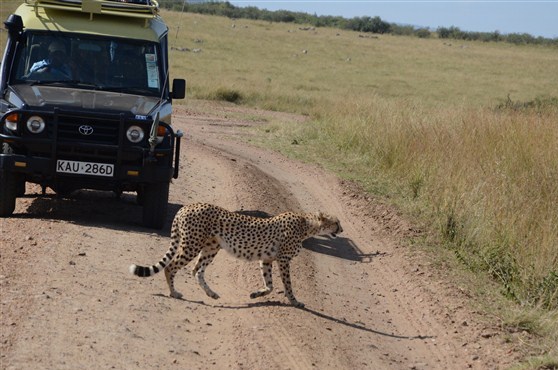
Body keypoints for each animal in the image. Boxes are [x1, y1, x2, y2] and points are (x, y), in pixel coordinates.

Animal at [130, 202, 344, 306]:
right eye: (336, 222)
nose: (341, 229)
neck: (307, 226)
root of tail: (187, 206)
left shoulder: (266, 259)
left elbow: (270, 285)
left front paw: (256, 294)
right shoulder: (283, 259)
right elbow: (287, 284)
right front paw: (295, 301)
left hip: (211, 247)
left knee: (196, 270)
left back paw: (211, 293)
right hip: (192, 244)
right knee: (171, 267)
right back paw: (174, 293)